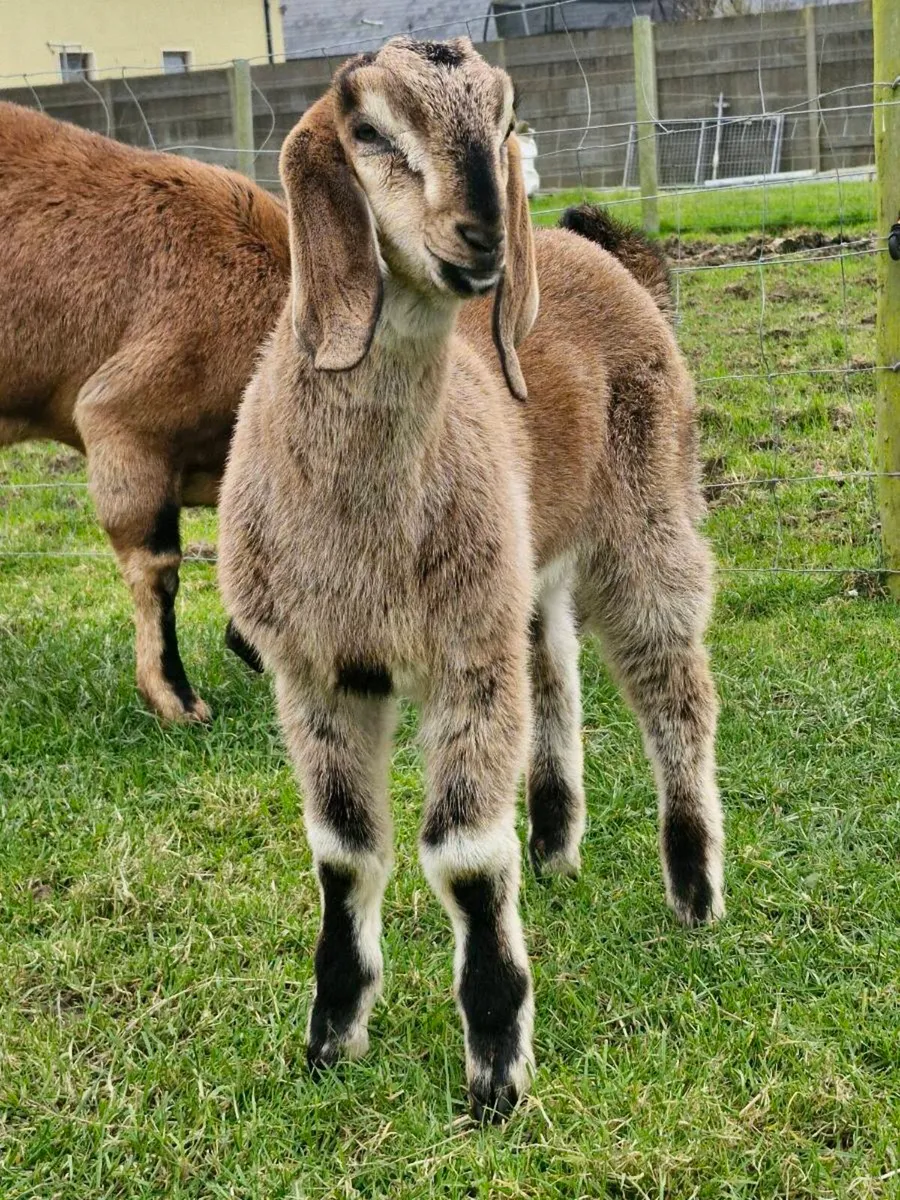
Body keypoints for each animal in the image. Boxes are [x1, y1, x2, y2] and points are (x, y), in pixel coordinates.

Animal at [218, 37, 724, 1120]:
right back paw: (557, 846)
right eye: (369, 132)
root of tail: (592, 247)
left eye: (504, 122)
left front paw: (496, 1067)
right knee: (556, 674)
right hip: (520, 568)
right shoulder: (316, 673)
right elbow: (343, 854)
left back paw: (696, 889)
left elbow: (463, 859)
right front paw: (332, 1037)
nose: (484, 235)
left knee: (674, 691)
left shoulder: (461, 660)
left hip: (647, 513)